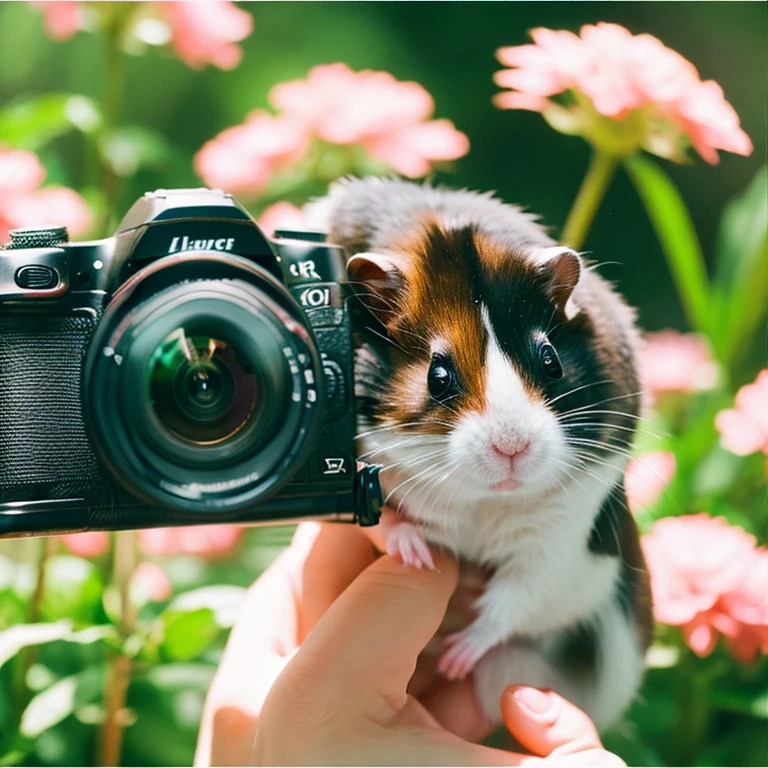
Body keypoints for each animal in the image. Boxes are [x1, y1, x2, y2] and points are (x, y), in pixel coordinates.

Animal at [308, 177, 656, 728]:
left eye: (550, 360)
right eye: (438, 375)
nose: (512, 447)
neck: (484, 500)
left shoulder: (564, 543)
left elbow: (514, 601)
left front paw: (455, 658)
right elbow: (379, 525)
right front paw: (417, 555)